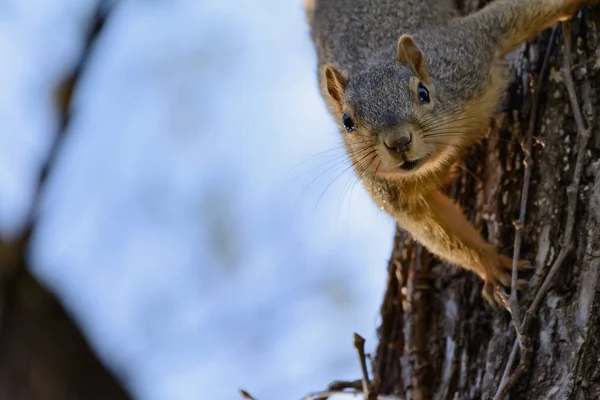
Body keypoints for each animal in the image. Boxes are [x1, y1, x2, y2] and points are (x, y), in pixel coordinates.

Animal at [304, 0, 596, 306]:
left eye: (423, 92)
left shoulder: (467, 52)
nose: (398, 142)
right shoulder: (393, 194)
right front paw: (490, 264)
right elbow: (438, 229)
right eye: (347, 121)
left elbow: (522, 13)